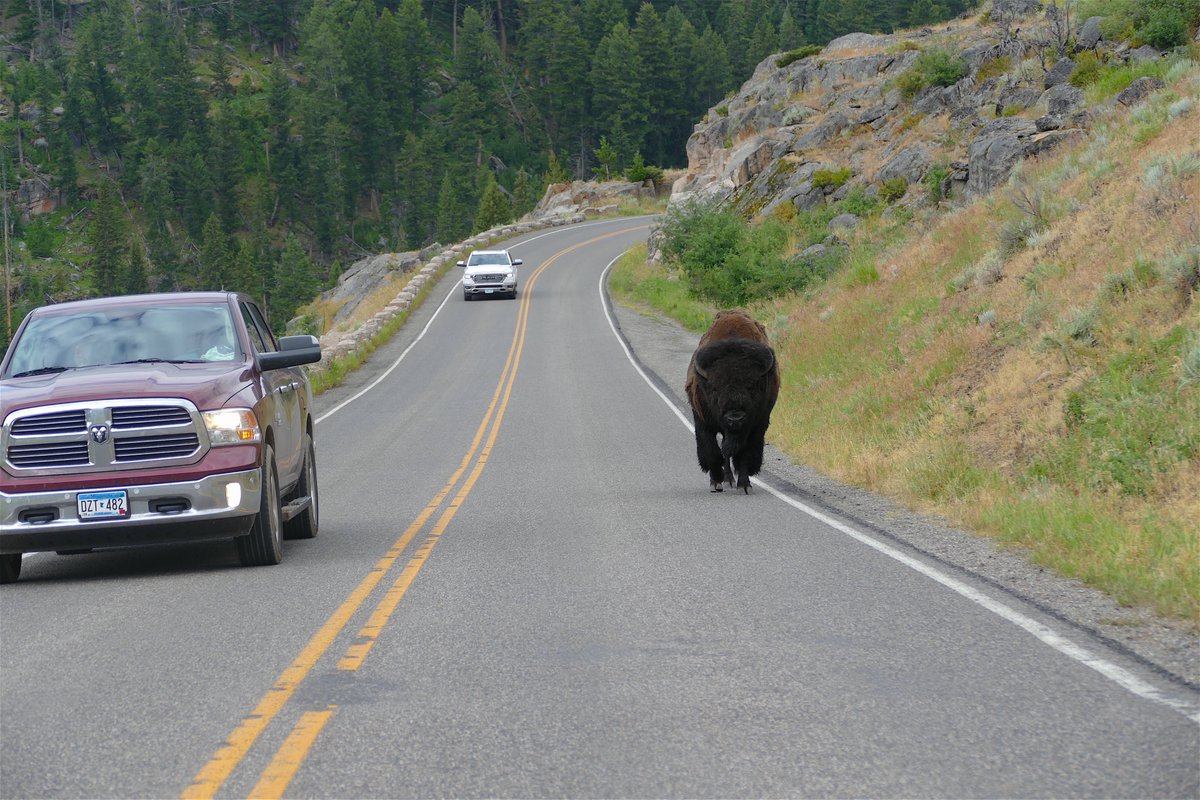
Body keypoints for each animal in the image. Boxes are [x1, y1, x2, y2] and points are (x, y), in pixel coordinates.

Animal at [686, 311, 777, 494]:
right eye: (715, 389)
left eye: (752, 387)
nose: (735, 419)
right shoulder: (703, 422)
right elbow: (711, 452)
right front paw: (716, 483)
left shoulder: (756, 426)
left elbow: (745, 454)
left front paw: (744, 485)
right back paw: (725, 480)